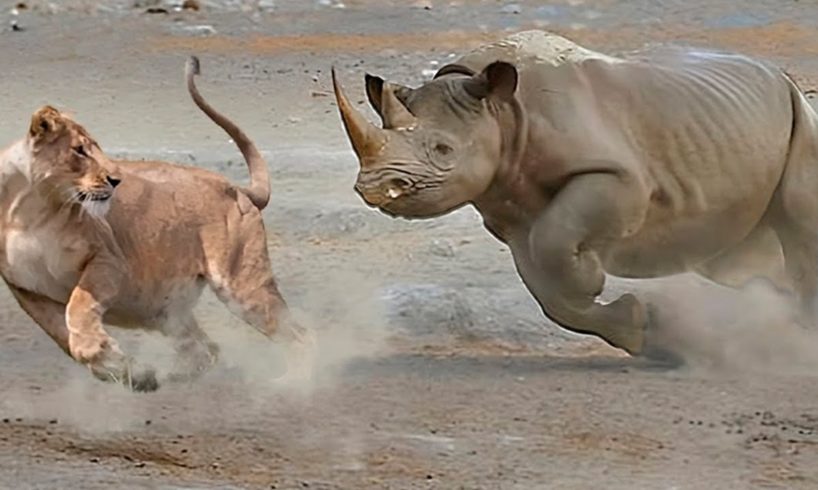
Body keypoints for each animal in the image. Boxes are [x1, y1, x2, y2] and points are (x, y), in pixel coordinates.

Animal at [330, 30, 816, 354]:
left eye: (444, 150)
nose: (373, 187)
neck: (499, 111)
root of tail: (779, 74)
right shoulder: (505, 208)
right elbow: (548, 291)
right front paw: (642, 330)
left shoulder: (620, 177)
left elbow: (555, 241)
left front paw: (592, 276)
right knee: (734, 259)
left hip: (800, 112)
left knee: (797, 223)